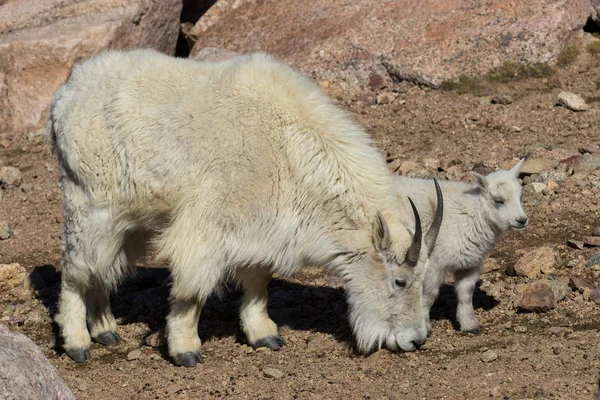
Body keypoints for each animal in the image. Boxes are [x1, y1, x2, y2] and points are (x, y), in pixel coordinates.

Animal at [48, 48, 440, 368]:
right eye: (400, 280)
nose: (415, 340)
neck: (292, 147)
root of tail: (65, 95)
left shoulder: (262, 228)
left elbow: (258, 282)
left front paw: (264, 334)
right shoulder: (208, 224)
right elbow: (192, 289)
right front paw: (185, 349)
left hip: (129, 217)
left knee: (102, 265)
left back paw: (105, 329)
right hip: (89, 201)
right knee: (75, 268)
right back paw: (78, 342)